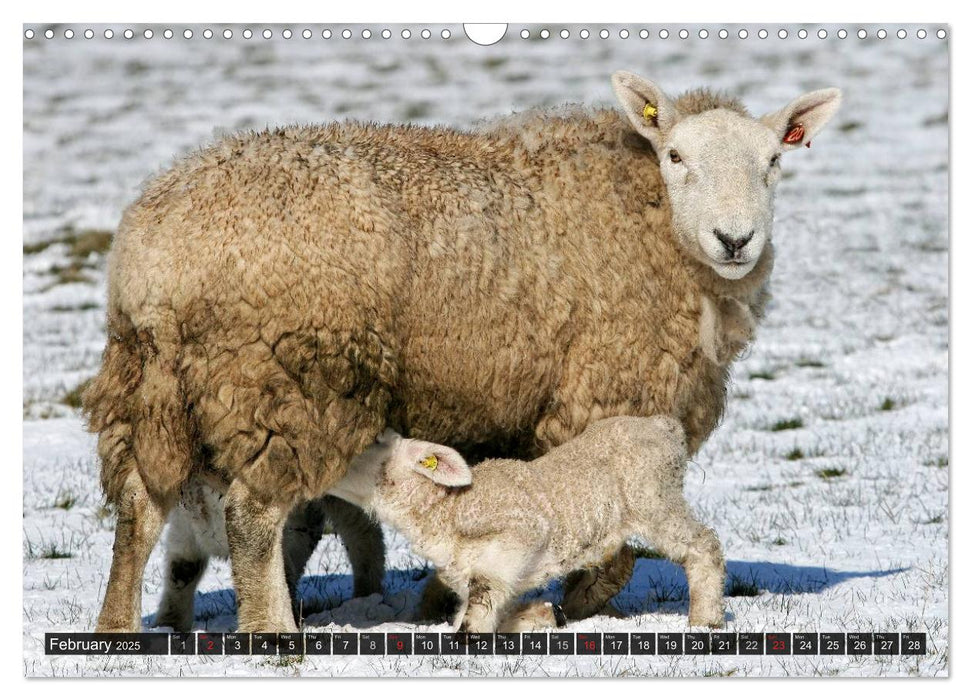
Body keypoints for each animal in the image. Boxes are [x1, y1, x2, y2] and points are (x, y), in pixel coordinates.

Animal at [330, 412, 724, 632]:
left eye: (374, 444)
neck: (449, 509)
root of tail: (663, 426)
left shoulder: (516, 541)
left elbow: (477, 612)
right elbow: (472, 613)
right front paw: (543, 614)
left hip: (655, 500)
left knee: (703, 546)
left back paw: (706, 620)